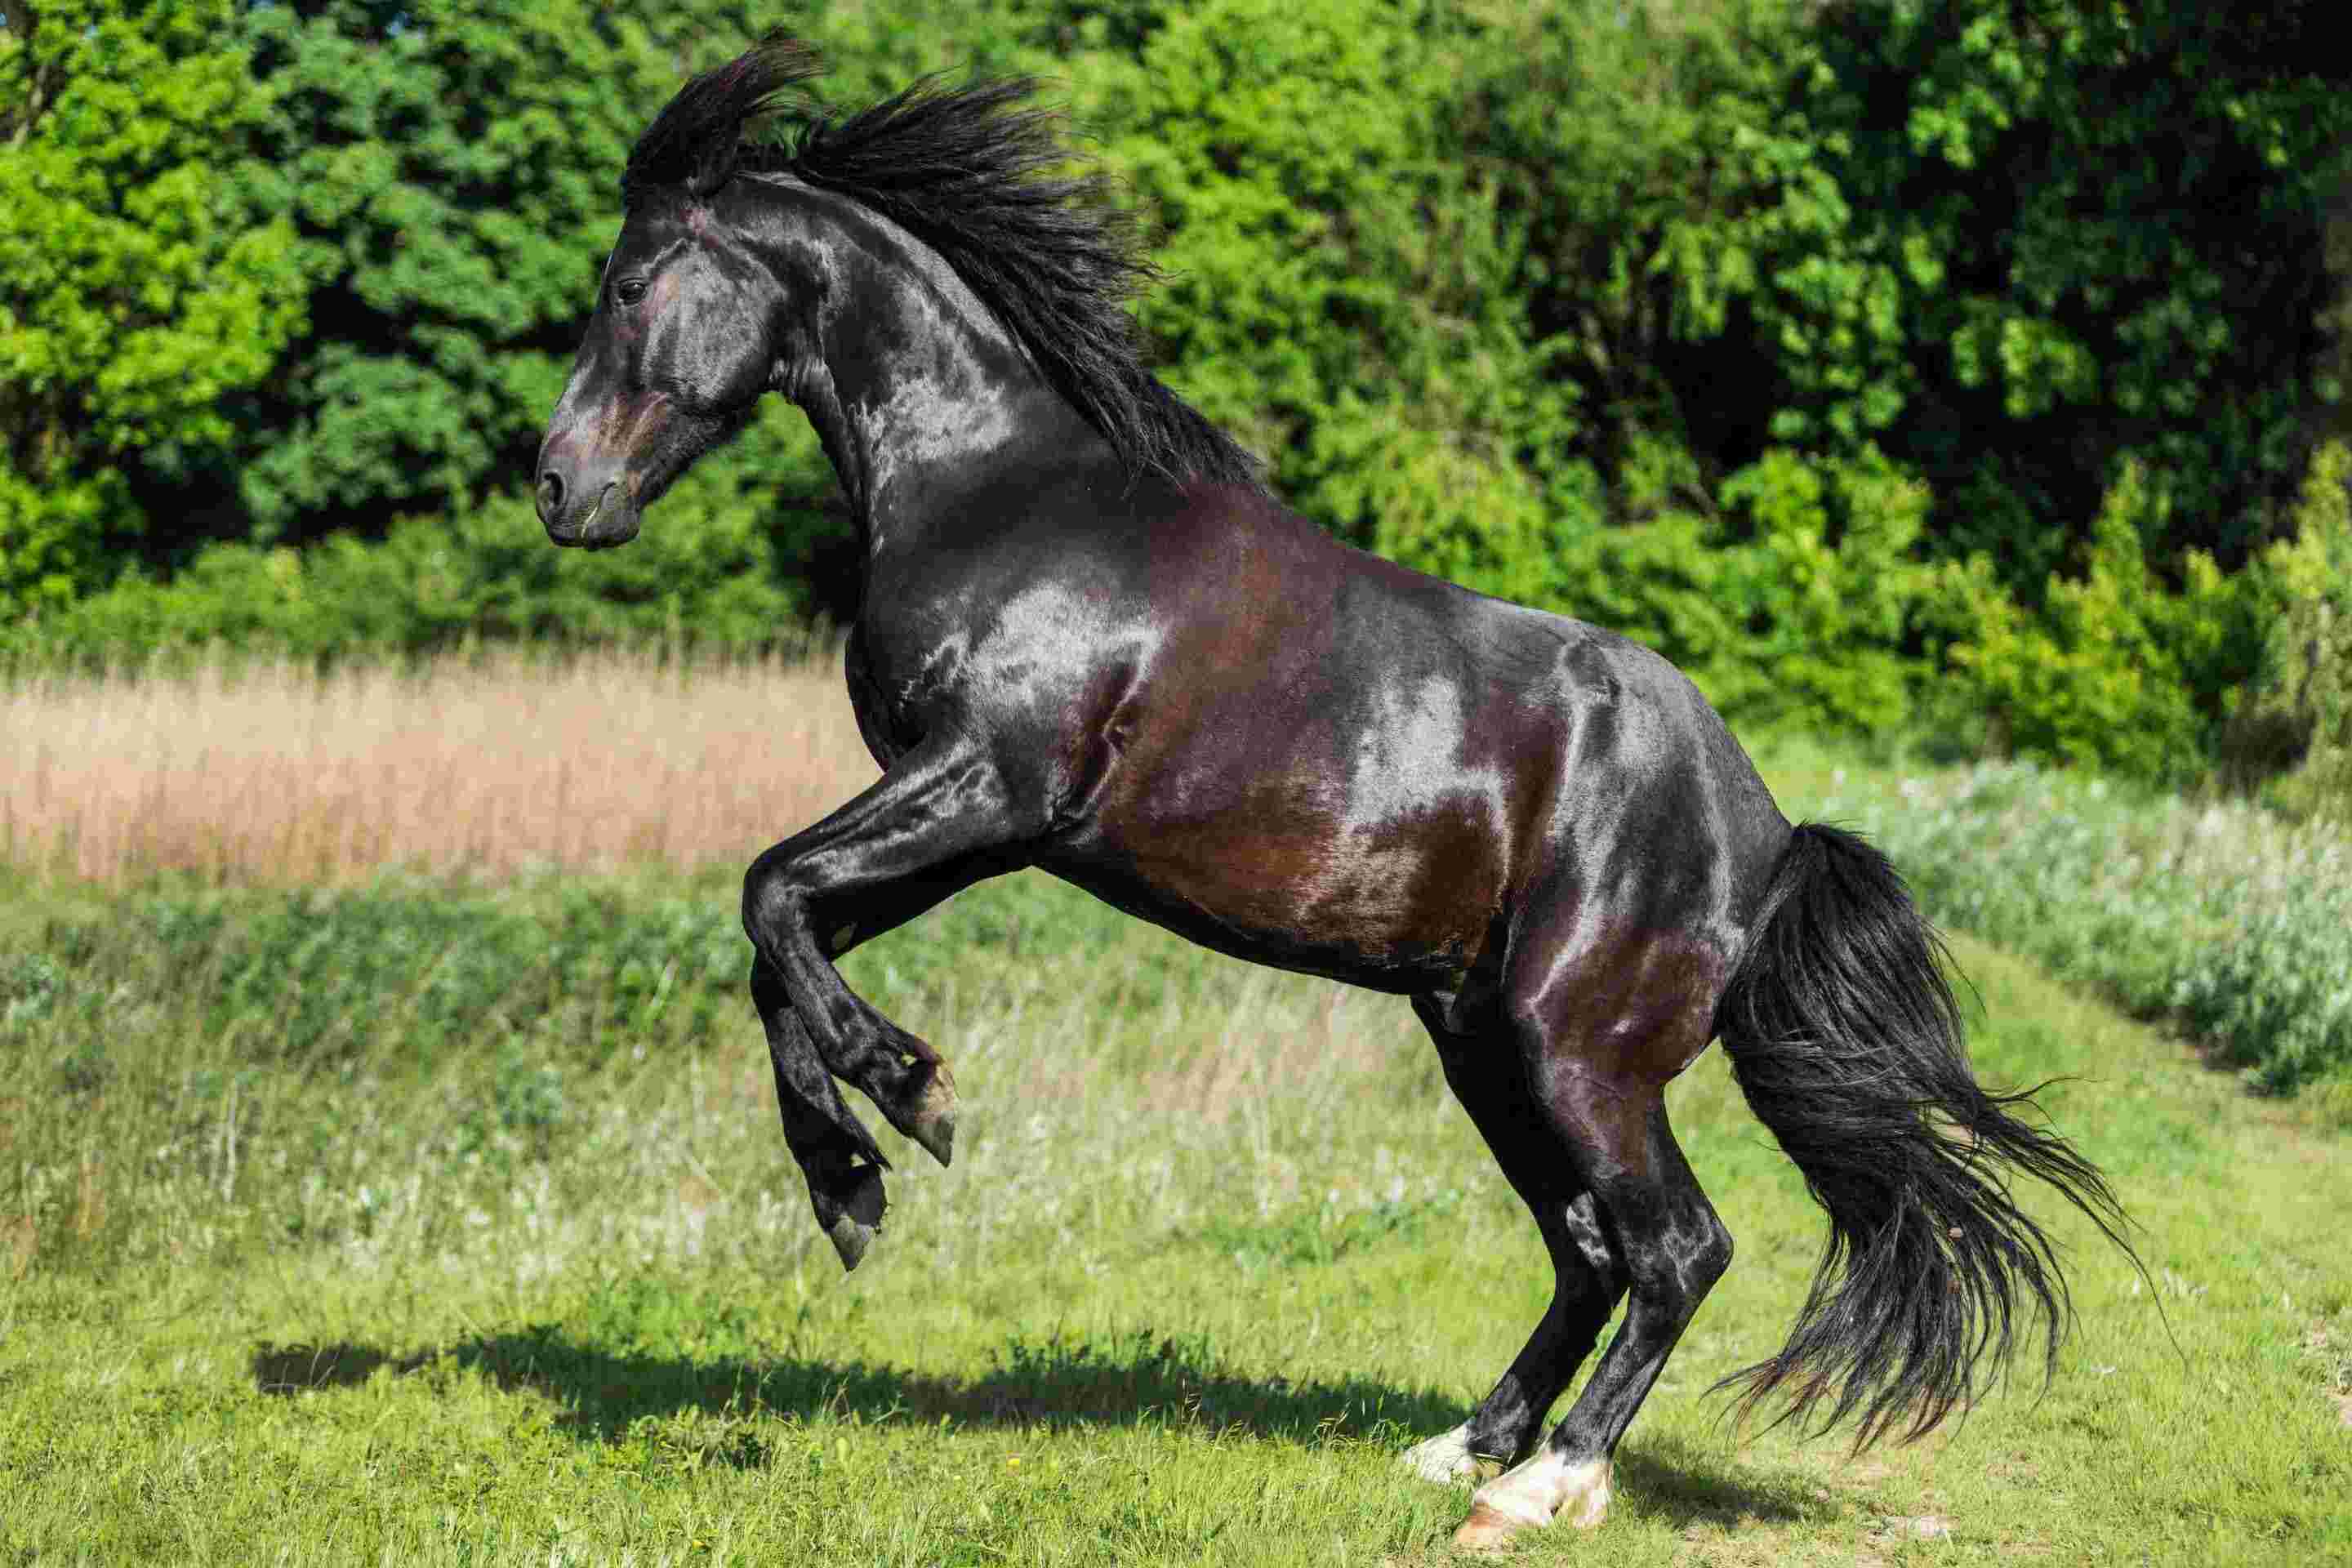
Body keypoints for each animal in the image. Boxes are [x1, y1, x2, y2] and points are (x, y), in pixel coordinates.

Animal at [533, 35, 2134, 1549]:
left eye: (628, 281)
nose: (558, 490)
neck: (996, 496)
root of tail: (1769, 834)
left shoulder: (986, 784)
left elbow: (769, 892)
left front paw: (910, 1104)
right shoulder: (973, 826)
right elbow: (780, 938)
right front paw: (852, 1180)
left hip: (1577, 1053)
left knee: (1677, 1249)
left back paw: (1542, 1488)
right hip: (1480, 1041)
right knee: (1587, 1249)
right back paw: (1457, 1448)